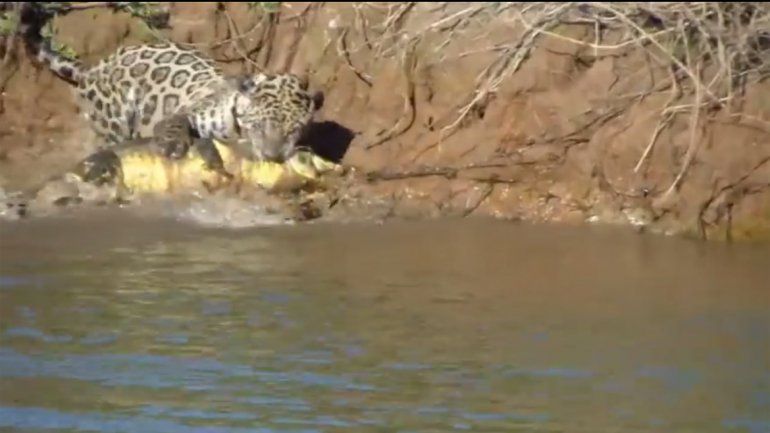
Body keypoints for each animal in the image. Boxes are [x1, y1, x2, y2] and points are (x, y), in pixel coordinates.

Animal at [19, 7, 324, 177]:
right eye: (260, 126)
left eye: (294, 130)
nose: (273, 157)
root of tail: (94, 68)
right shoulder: (191, 111)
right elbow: (174, 120)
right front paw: (173, 144)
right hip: (113, 121)